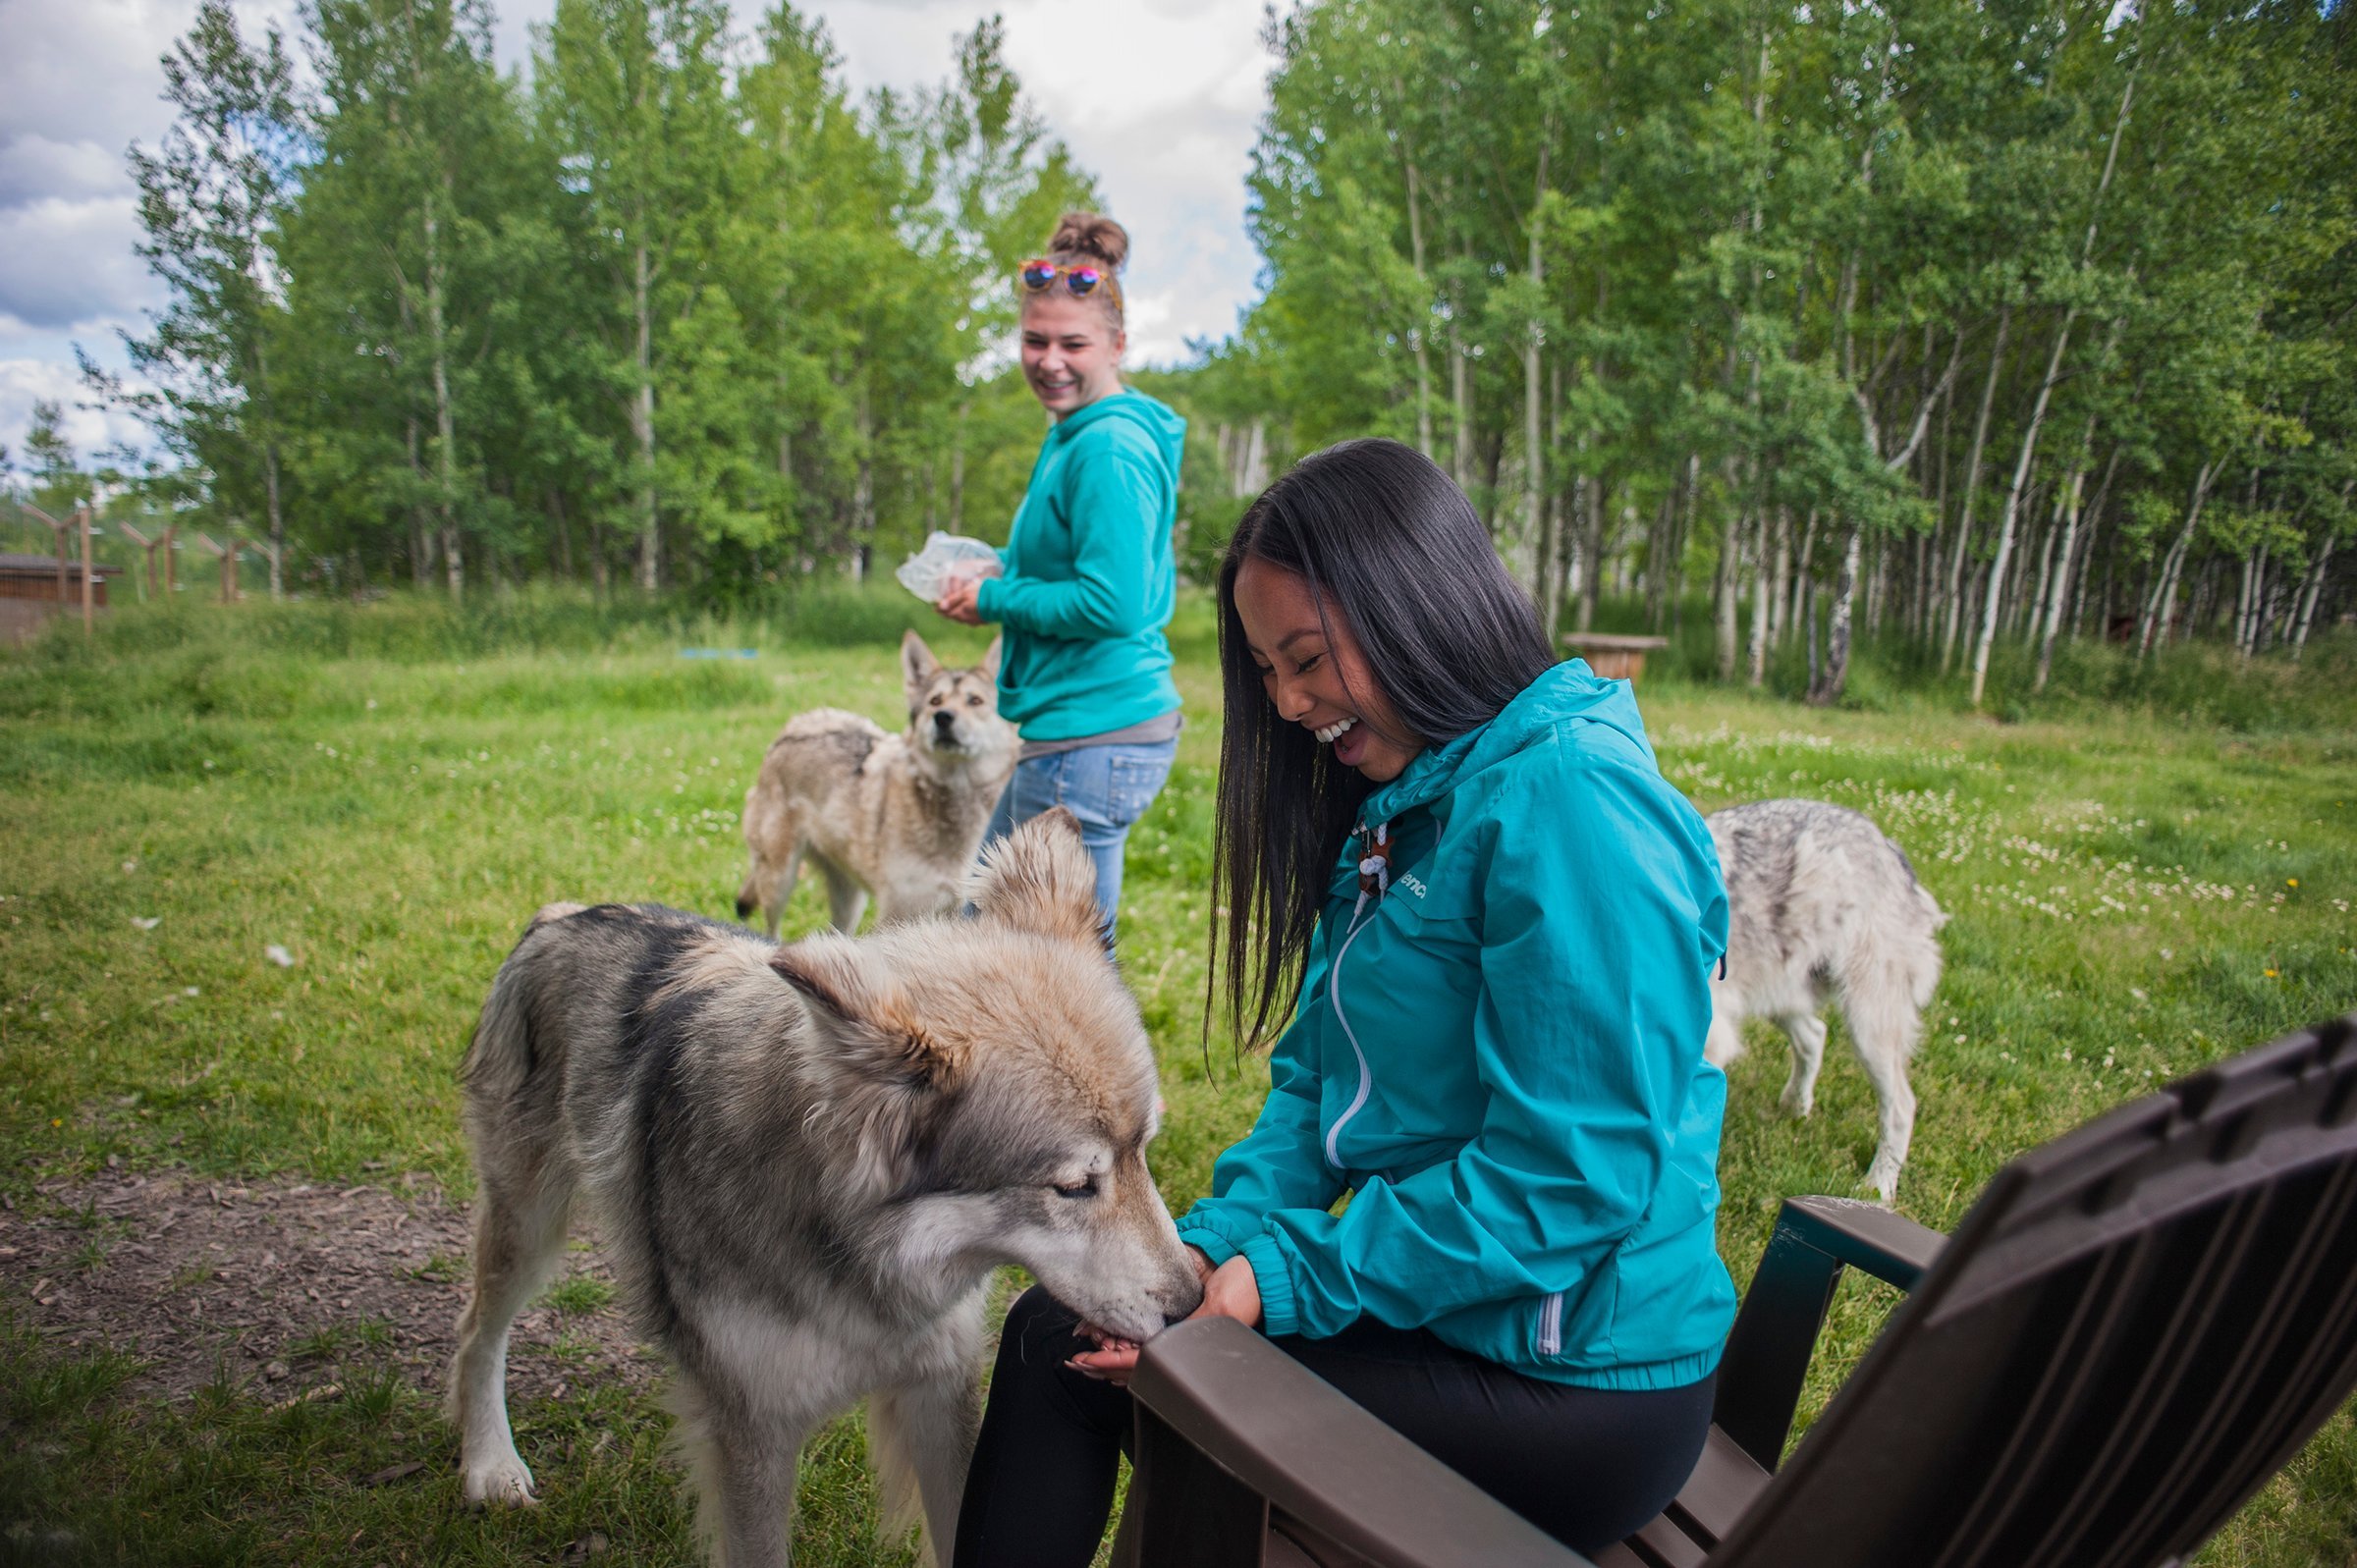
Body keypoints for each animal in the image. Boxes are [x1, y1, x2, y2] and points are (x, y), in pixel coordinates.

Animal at [450, 811, 1206, 1555]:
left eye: (1143, 1152)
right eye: (1075, 1186)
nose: (1194, 1303)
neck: (859, 1266)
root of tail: (562, 914)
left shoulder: (938, 1390)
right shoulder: (750, 1433)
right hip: (528, 1228)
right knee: (478, 1332)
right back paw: (491, 1466)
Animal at [726, 626, 1004, 943]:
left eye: (975, 701)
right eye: (935, 701)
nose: (943, 717)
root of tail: (792, 727)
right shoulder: (897, 915)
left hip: (849, 901)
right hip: (780, 881)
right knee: (771, 928)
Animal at [1706, 796, 1942, 1197]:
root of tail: (1885, 841)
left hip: (1867, 1028)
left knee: (1901, 1105)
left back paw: (1879, 1188)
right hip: (1780, 996)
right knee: (1815, 1036)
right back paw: (1795, 1109)